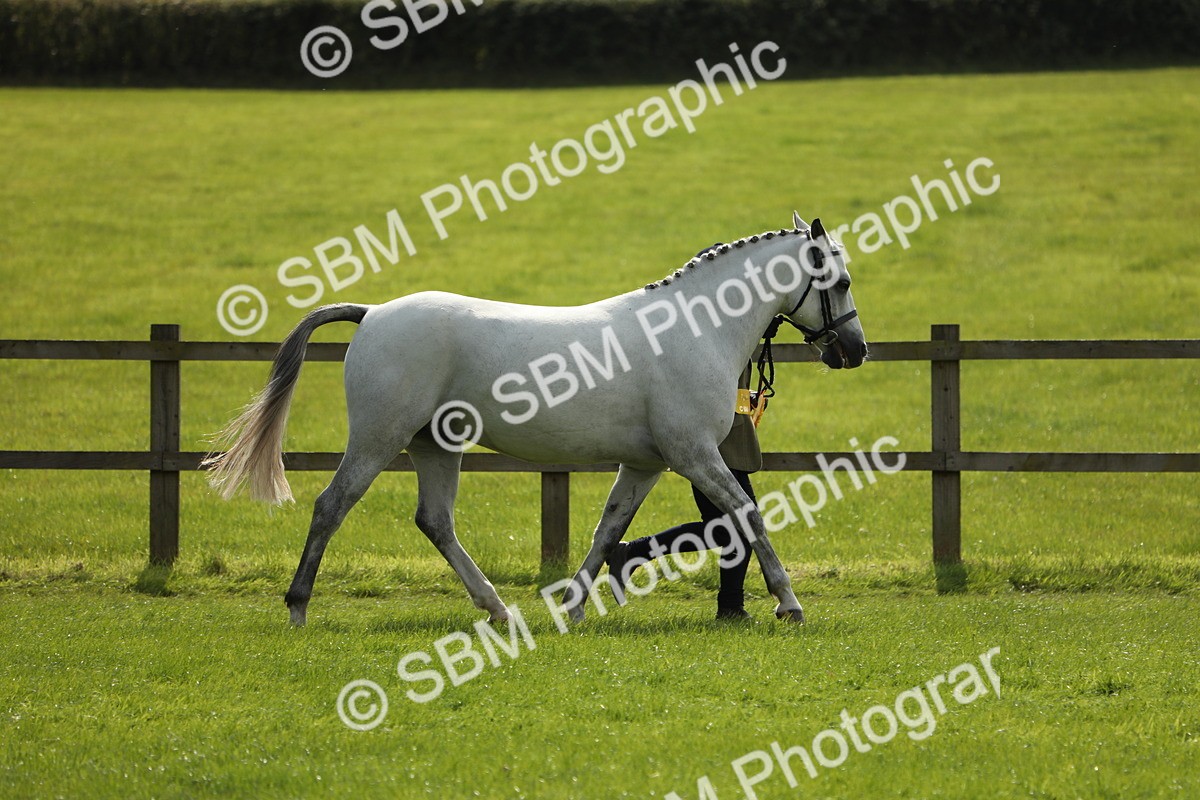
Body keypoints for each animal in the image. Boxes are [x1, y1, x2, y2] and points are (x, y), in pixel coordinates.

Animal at [203, 213, 867, 627]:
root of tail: (372, 313)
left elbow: (606, 531)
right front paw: (789, 602)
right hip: (378, 438)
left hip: (434, 446)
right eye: (839, 280)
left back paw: (497, 609)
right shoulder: (695, 455)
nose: (854, 351)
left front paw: (572, 606)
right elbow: (747, 513)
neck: (692, 327)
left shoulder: (647, 464)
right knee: (331, 506)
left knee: (435, 521)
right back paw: (298, 606)